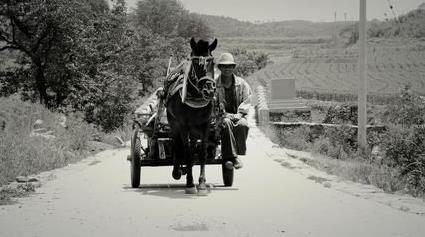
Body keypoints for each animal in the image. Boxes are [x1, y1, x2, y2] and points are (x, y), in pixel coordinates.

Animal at [165, 38, 217, 195]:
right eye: (195, 63)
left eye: (212, 62)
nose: (209, 91)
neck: (196, 97)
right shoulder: (183, 126)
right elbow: (187, 152)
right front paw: (189, 183)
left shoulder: (206, 125)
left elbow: (202, 153)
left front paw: (202, 183)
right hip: (174, 124)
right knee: (177, 144)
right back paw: (177, 172)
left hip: (195, 129)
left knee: (193, 147)